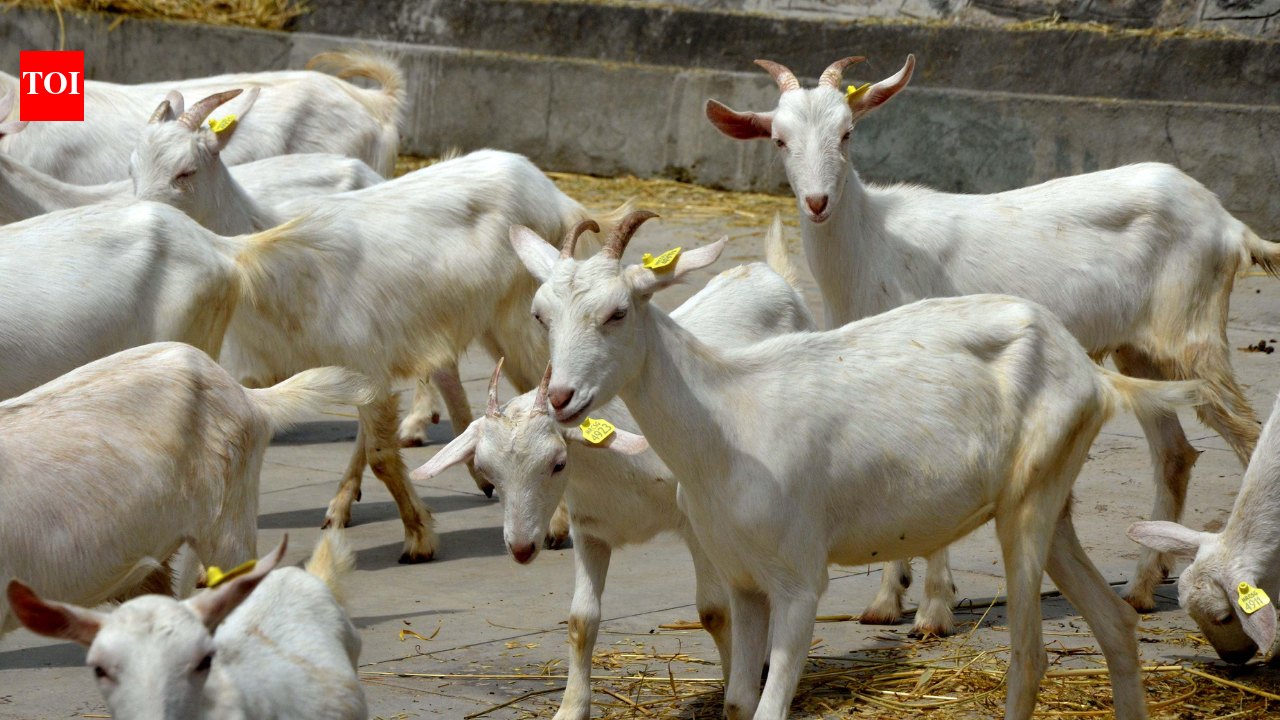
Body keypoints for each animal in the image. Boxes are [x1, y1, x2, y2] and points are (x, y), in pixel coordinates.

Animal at [412, 215, 815, 720]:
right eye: (487, 473)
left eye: (557, 463)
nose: (521, 548)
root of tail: (765, 273)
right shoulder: (590, 528)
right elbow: (581, 619)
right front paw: (571, 707)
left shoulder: (696, 524)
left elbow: (713, 610)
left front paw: (734, 684)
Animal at [510, 211, 1207, 720]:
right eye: (541, 314)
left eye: (617, 311)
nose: (561, 396)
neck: (727, 421)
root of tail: (1089, 371)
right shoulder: (742, 579)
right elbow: (737, 704)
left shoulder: (798, 581)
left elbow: (769, 708)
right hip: (1051, 499)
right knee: (1115, 624)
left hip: (1028, 507)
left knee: (1028, 656)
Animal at [706, 55, 1280, 622]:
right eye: (778, 140)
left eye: (847, 133)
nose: (817, 201)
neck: (874, 244)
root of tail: (1228, 223)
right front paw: (887, 601)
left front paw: (932, 609)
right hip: (1137, 348)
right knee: (1173, 454)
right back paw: (1139, 588)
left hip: (1192, 331)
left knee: (1246, 433)